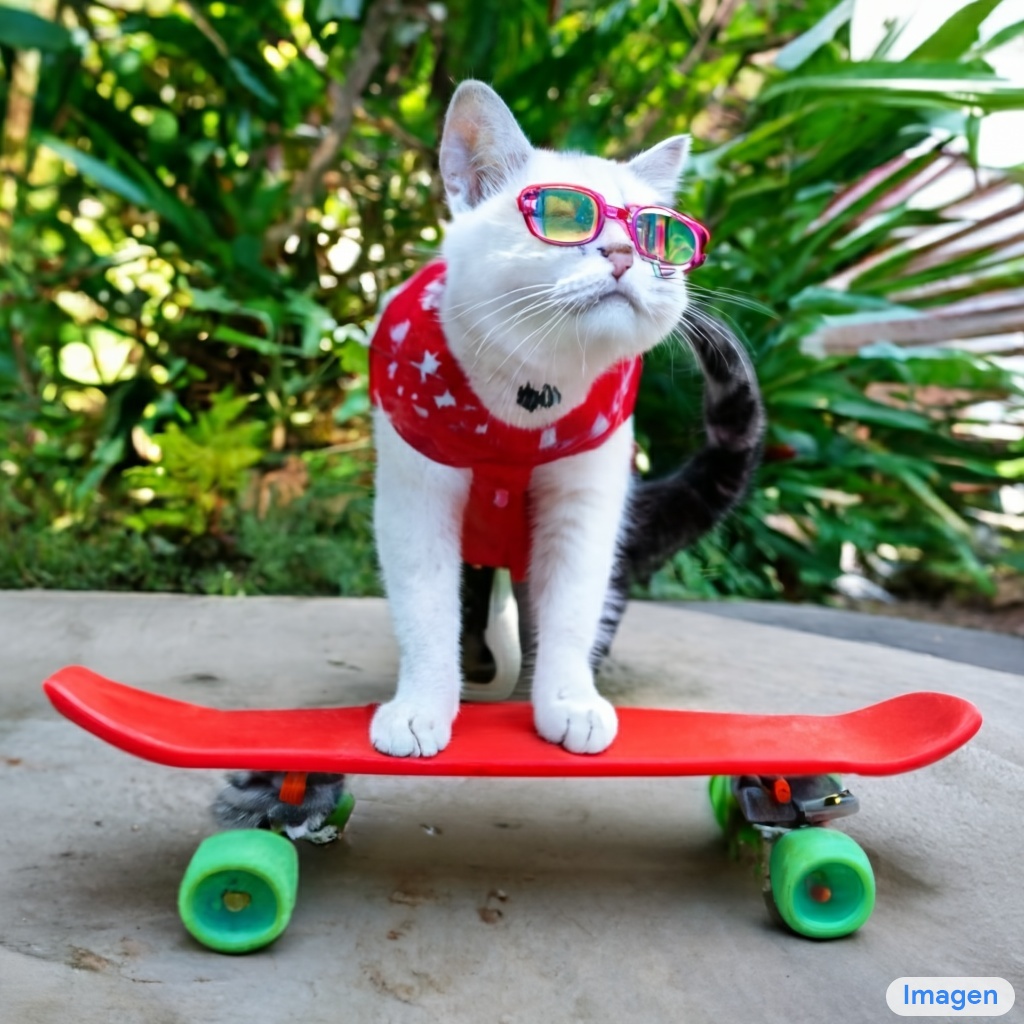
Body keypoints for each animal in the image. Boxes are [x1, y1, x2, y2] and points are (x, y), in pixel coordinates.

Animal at [214, 79, 761, 831]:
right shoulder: (415, 497)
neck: (530, 397)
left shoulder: (586, 502)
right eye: (565, 215)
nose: (624, 252)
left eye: (659, 234)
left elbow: (571, 610)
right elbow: (425, 607)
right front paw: (422, 708)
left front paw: (566, 701)